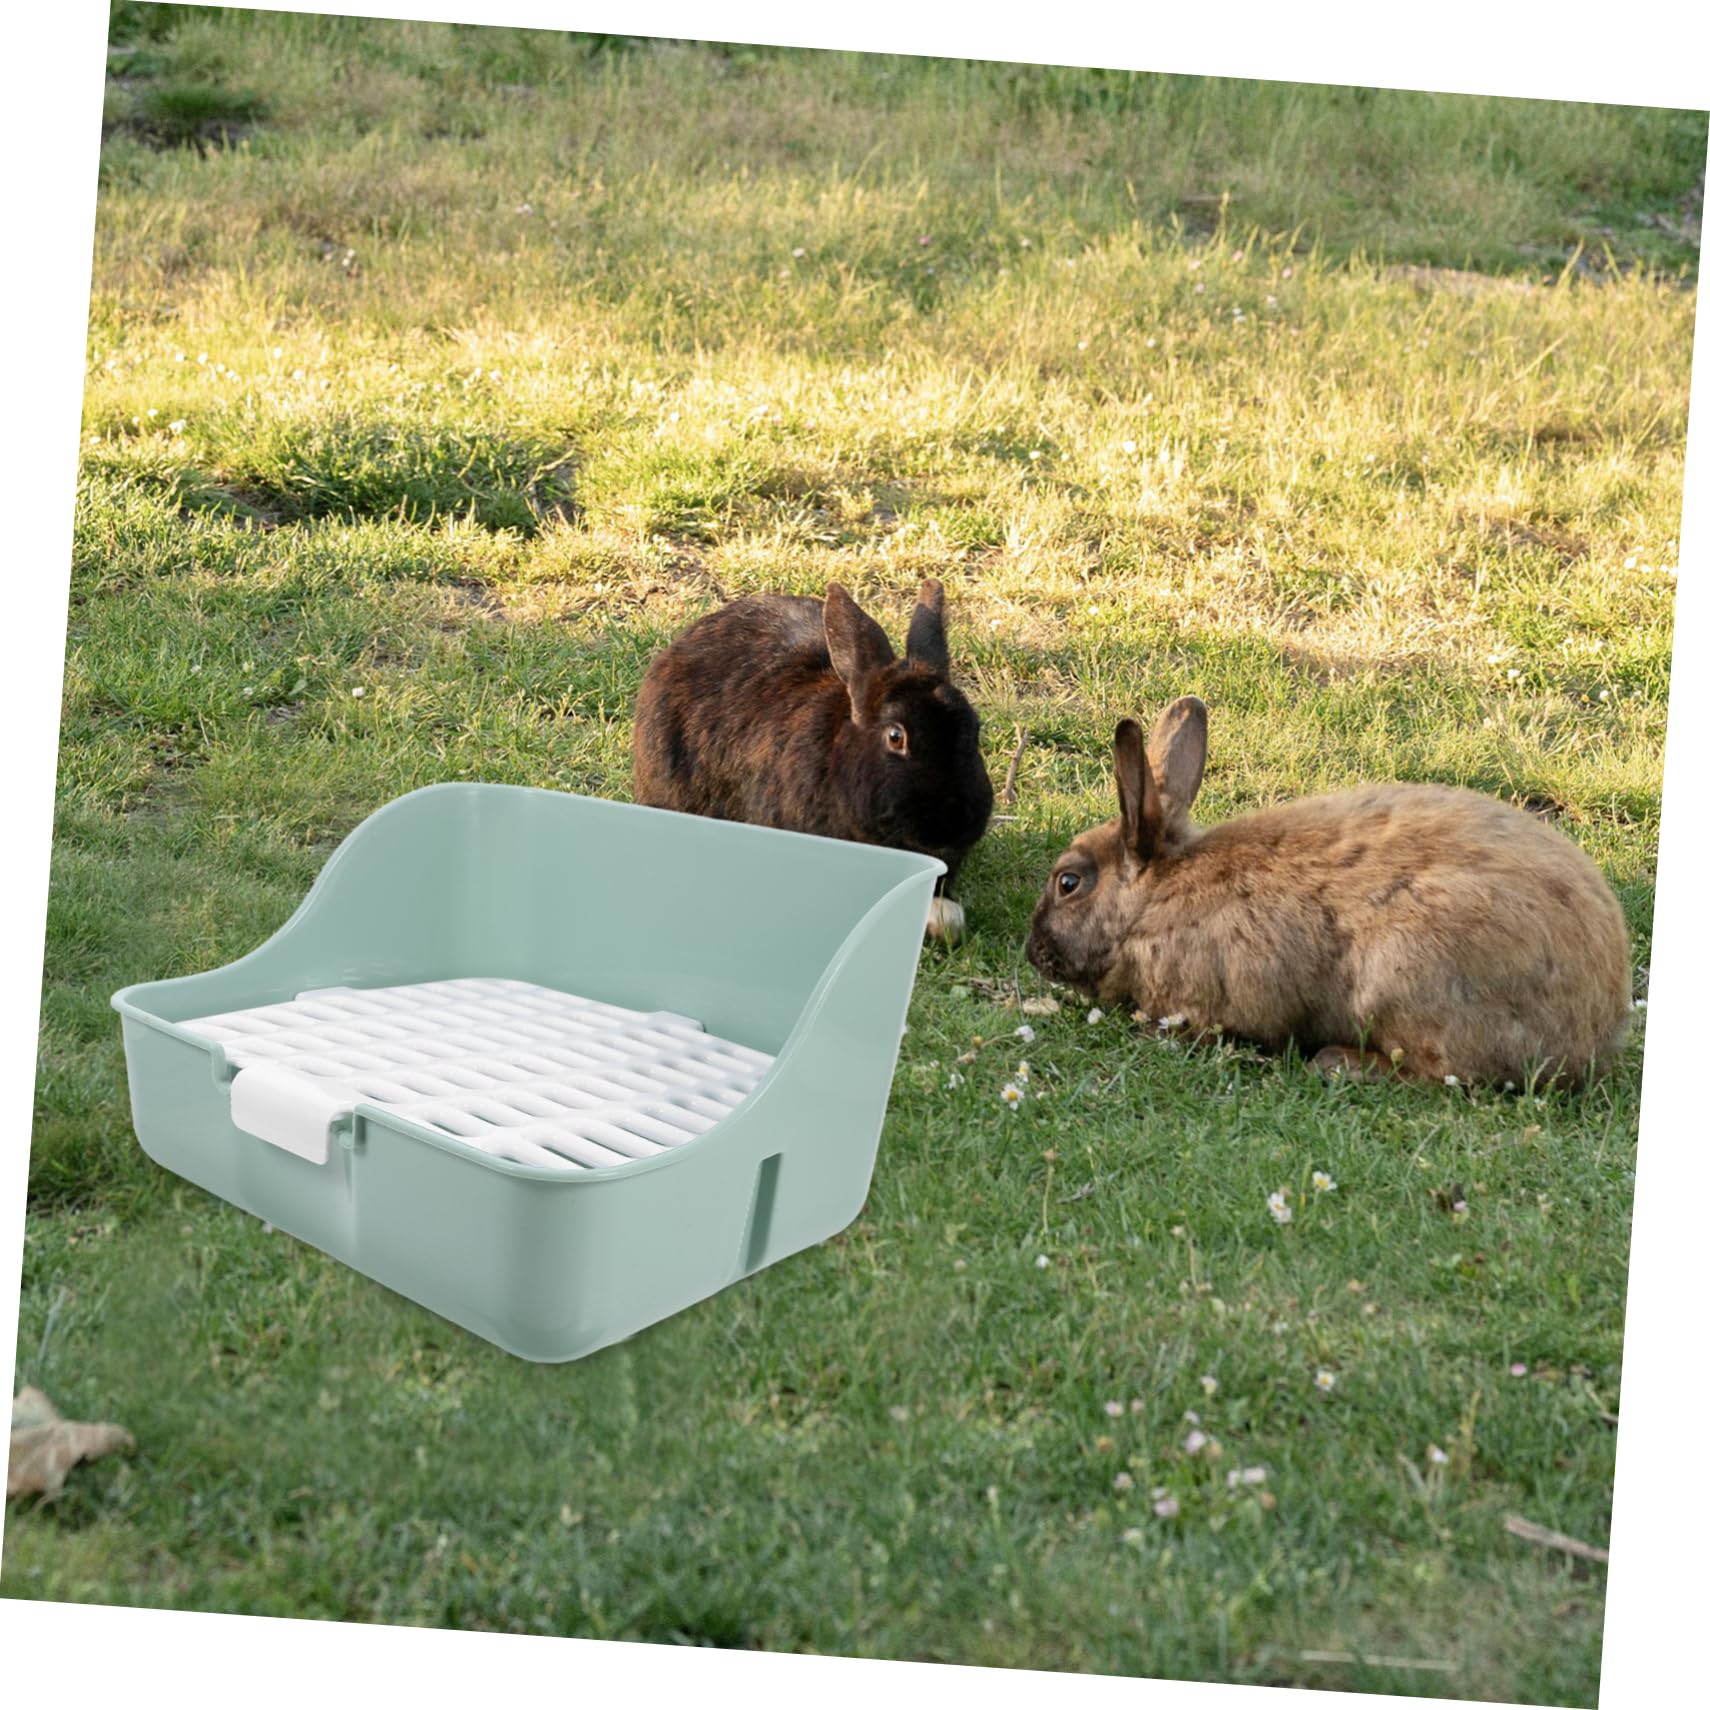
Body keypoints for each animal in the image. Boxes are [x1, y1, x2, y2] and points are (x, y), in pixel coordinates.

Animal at [1025, 696, 1632, 1088]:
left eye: (1068, 883)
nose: (1033, 953)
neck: (1152, 900)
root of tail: (1595, 1030)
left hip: (1403, 980)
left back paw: (1338, 1063)